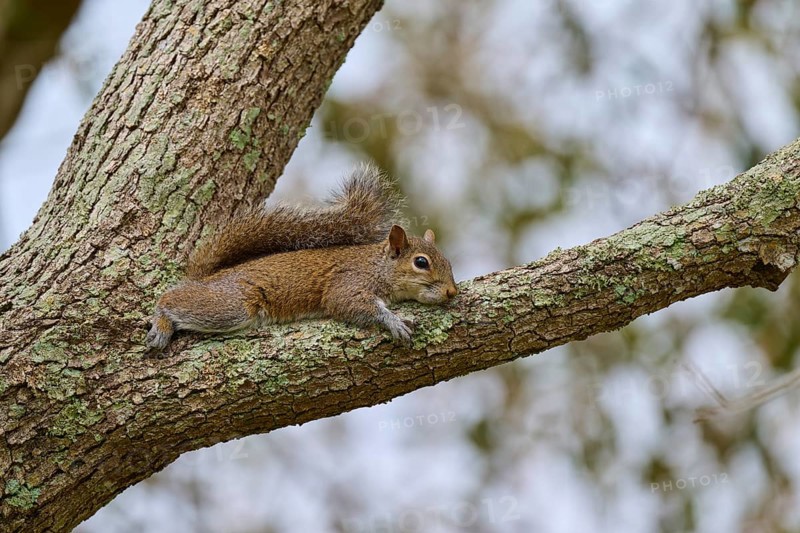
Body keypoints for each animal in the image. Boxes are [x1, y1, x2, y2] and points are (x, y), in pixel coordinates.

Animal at [145, 163, 458, 350]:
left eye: (448, 261)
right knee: (171, 299)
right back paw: (161, 323)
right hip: (231, 305)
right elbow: (348, 302)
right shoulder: (349, 281)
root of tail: (208, 277)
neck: (376, 265)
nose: (452, 291)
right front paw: (393, 321)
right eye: (421, 262)